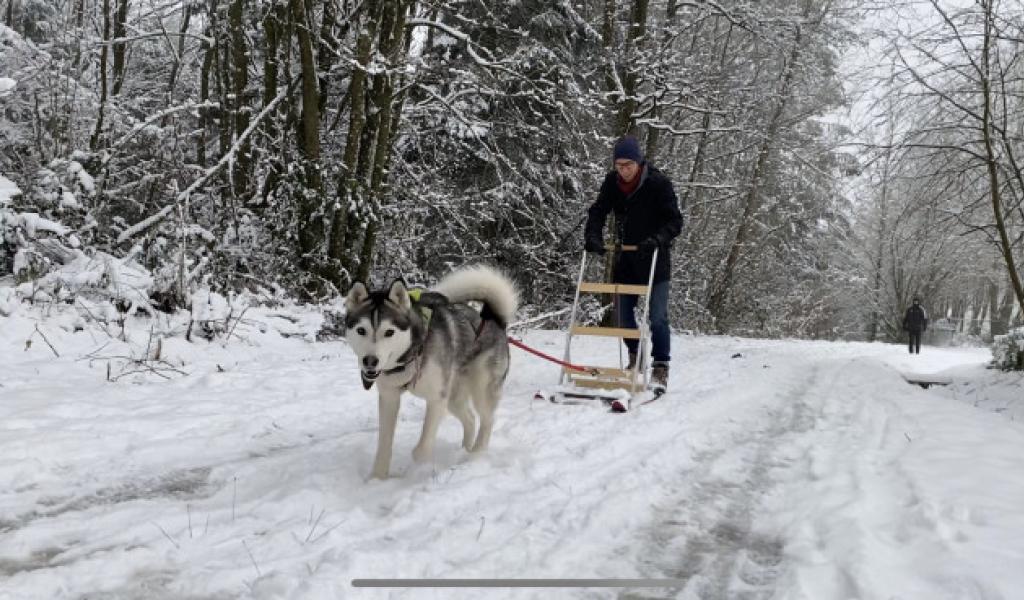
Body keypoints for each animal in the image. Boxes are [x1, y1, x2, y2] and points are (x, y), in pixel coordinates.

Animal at [344, 264, 520, 477]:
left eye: (389, 332)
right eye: (361, 330)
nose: (370, 361)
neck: (412, 355)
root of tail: (492, 319)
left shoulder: (437, 399)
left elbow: (422, 447)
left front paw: (417, 470)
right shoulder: (389, 398)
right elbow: (384, 444)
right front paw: (378, 478)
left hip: (481, 390)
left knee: (487, 421)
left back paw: (475, 455)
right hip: (454, 398)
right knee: (470, 419)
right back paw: (463, 451)